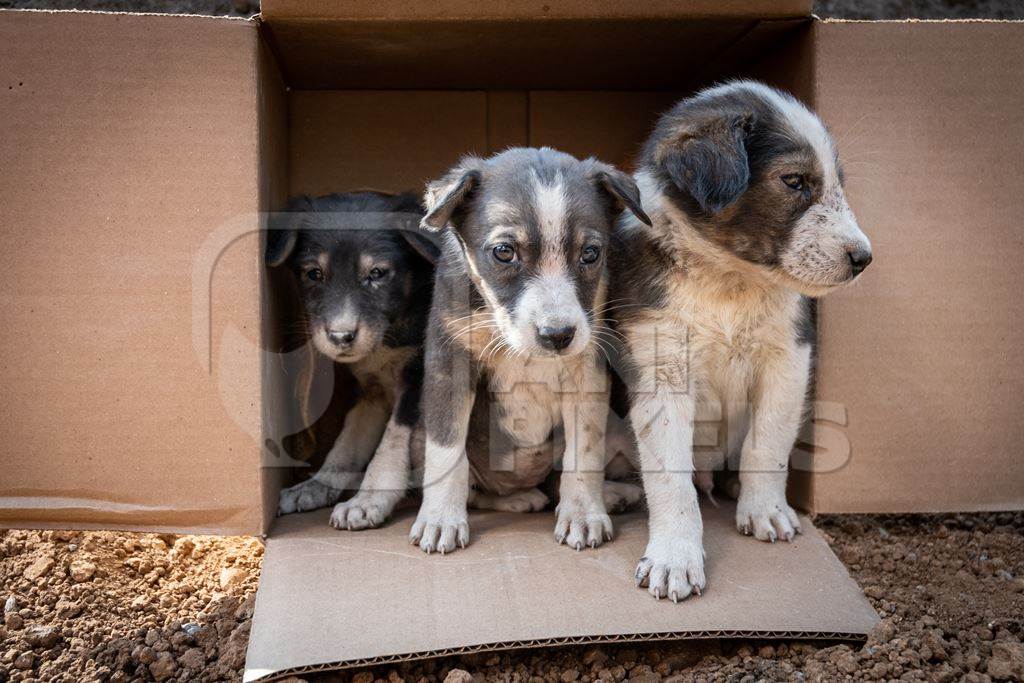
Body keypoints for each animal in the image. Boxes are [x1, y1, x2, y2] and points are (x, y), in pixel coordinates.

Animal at [266, 189, 438, 532]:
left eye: (377, 273)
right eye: (314, 274)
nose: (341, 336)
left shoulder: (418, 379)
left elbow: (390, 442)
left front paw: (368, 499)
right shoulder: (372, 391)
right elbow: (348, 442)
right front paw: (316, 486)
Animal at [606, 80, 872, 602]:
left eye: (838, 182)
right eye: (795, 181)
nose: (864, 258)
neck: (730, 280)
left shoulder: (788, 359)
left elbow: (766, 445)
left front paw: (765, 510)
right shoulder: (661, 367)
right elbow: (671, 479)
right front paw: (674, 557)